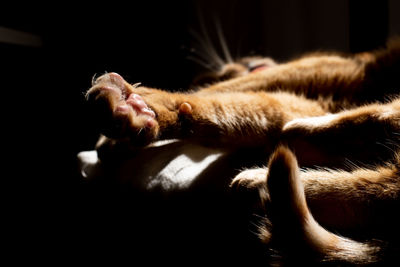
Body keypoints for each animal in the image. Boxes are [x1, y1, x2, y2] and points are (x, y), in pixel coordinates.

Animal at [86, 38, 400, 264]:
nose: (242, 64)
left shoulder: (316, 70)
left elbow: (217, 92)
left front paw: (131, 113)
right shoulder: (298, 101)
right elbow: (224, 109)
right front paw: (139, 115)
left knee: (377, 127)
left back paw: (266, 171)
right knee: (379, 187)